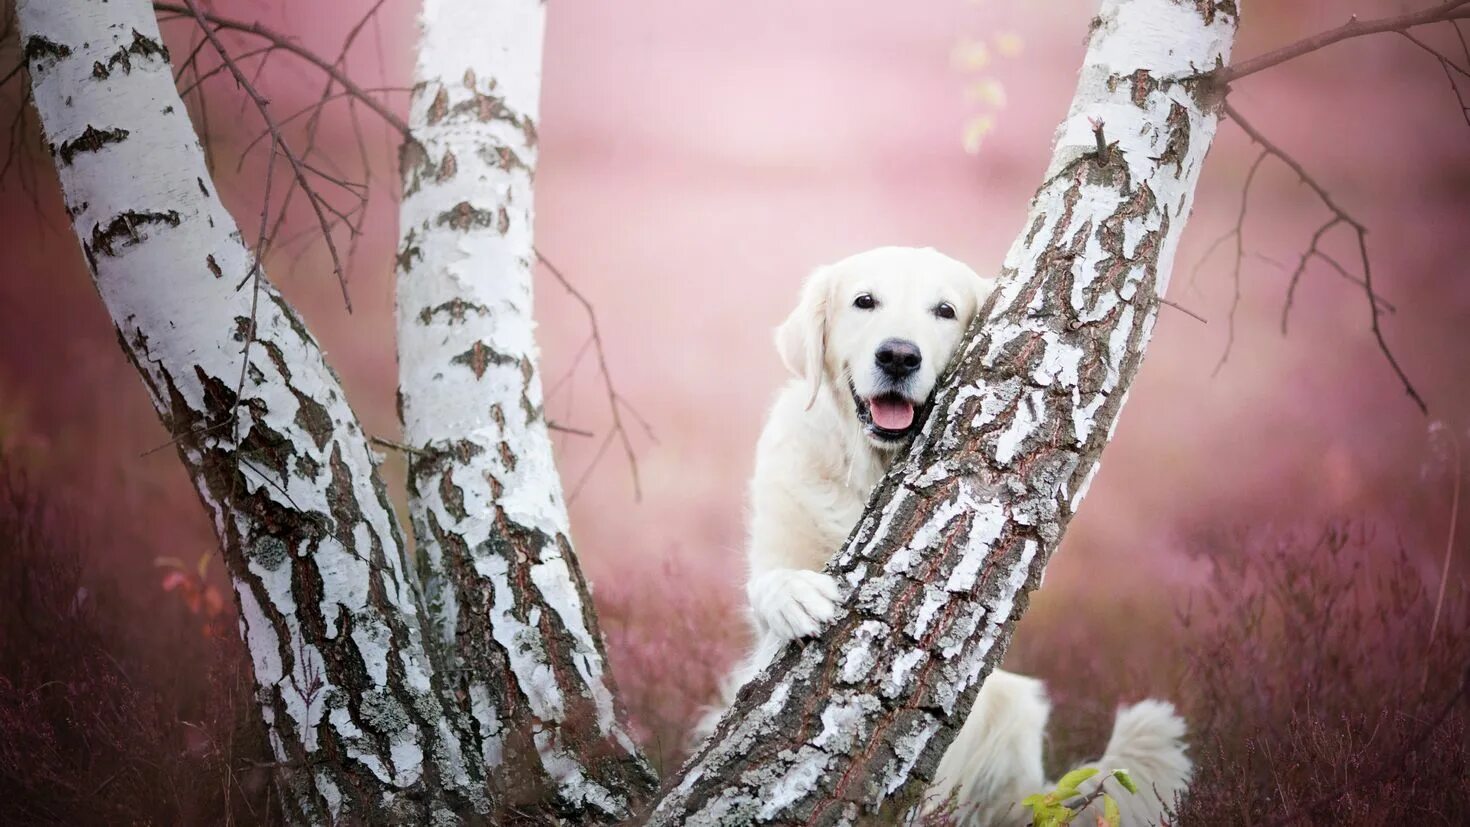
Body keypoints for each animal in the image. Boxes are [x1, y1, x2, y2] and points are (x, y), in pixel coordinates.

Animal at [693, 248, 1187, 827]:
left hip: (1014, 709)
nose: (899, 356)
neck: (871, 469)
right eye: (864, 301)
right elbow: (768, 583)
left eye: (945, 310)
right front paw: (794, 594)